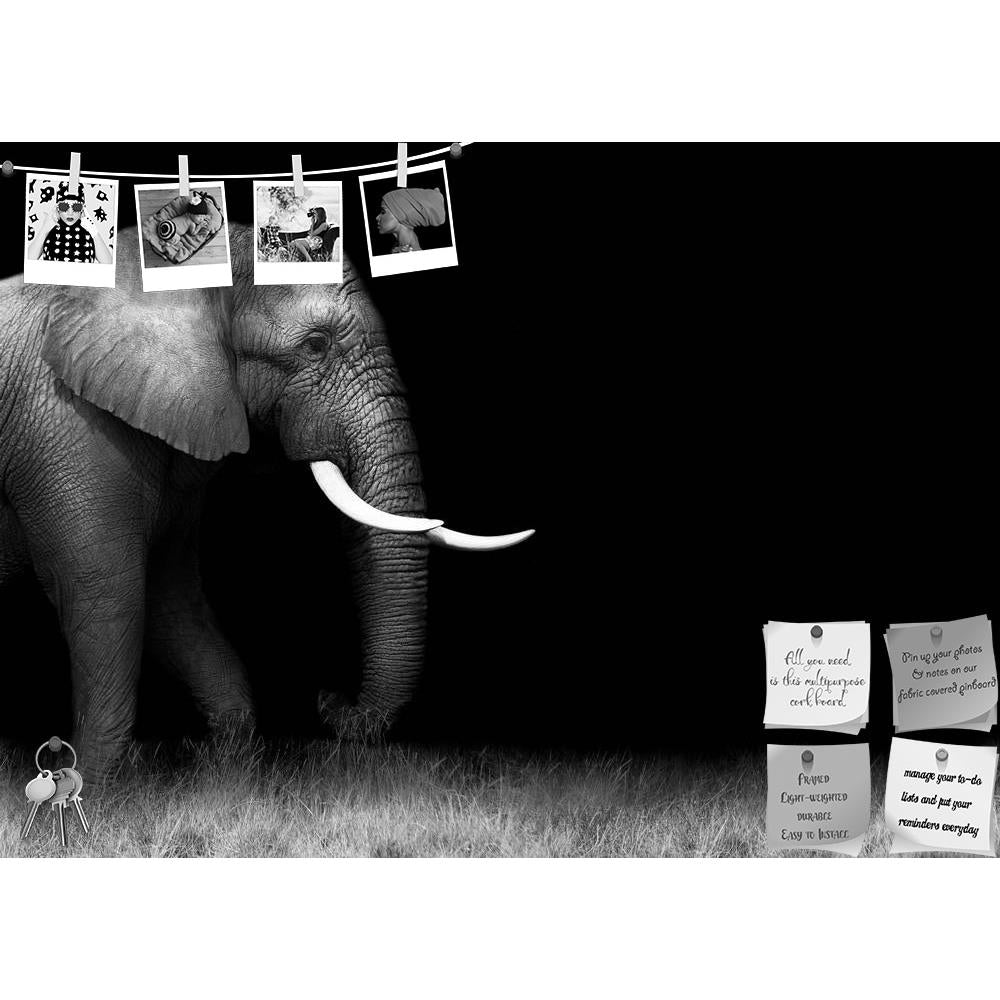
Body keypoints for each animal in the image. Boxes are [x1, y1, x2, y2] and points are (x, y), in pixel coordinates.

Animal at [0, 224, 532, 778]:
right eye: (317, 345)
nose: (329, 697)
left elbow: (172, 595)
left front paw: (223, 766)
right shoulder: (65, 424)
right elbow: (106, 589)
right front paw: (89, 781)